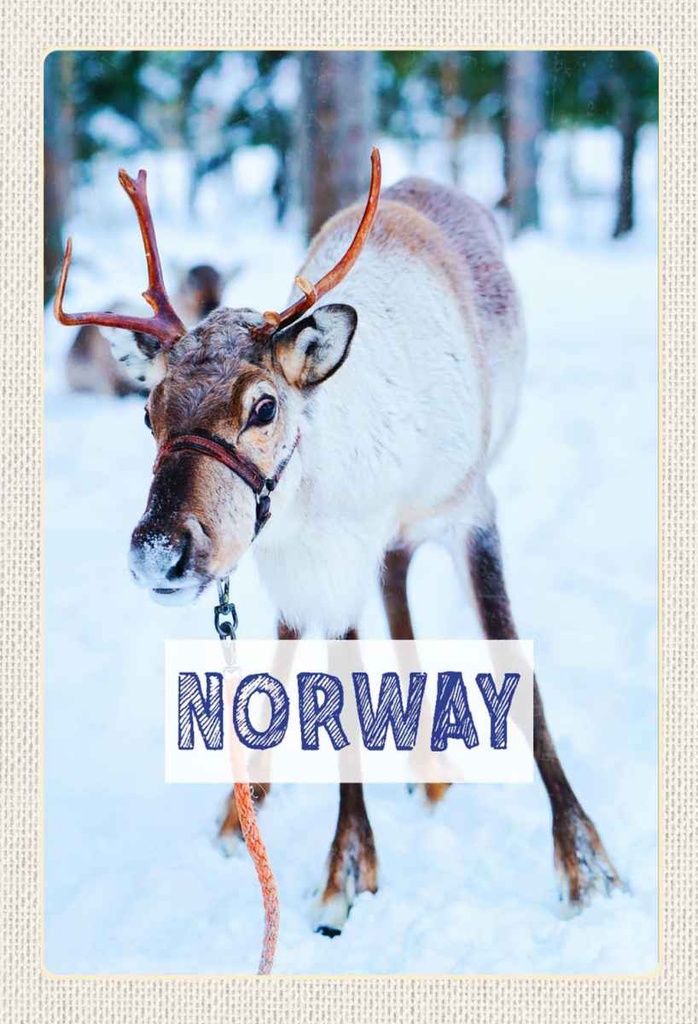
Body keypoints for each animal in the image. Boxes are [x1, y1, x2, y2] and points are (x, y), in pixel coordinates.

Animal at [54, 152, 624, 937]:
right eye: (149, 411)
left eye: (264, 406)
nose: (157, 550)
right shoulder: (322, 561)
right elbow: (340, 690)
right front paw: (348, 866)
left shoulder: (470, 508)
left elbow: (514, 661)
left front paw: (585, 865)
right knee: (333, 618)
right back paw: (256, 808)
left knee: (396, 580)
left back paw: (427, 771)